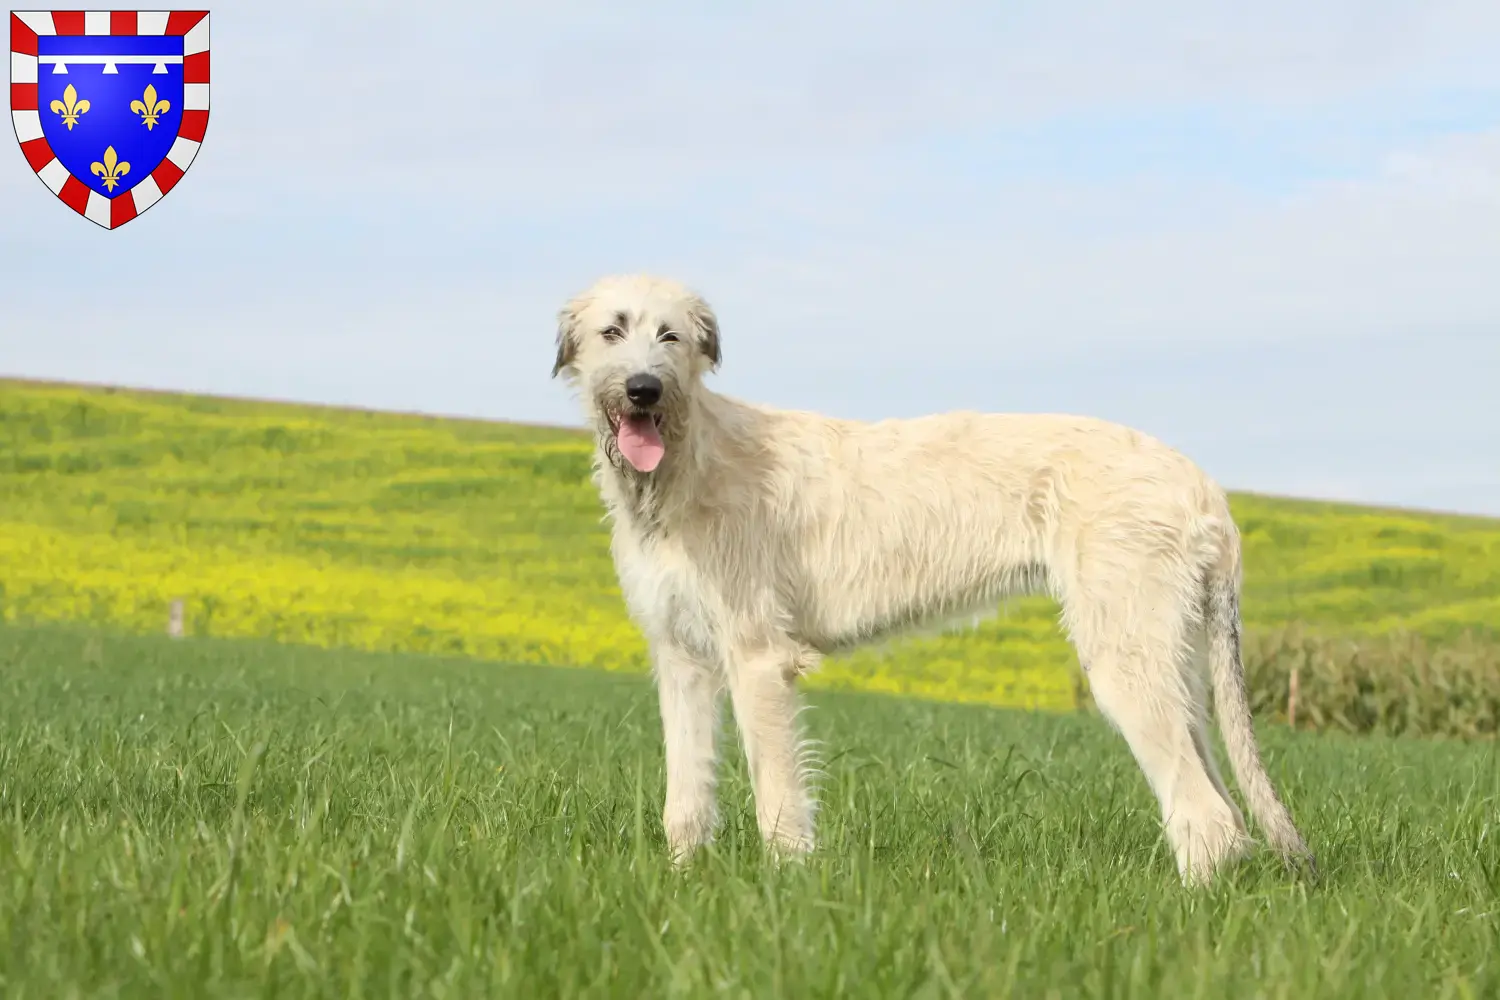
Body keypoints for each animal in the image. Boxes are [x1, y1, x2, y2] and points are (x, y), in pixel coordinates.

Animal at [552, 271, 1314, 881]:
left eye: (671, 335)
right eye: (612, 331)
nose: (644, 389)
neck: (685, 463)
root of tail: (1203, 485)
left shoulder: (757, 657)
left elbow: (777, 794)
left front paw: (785, 891)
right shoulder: (681, 656)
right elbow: (685, 793)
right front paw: (681, 881)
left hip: (1125, 653)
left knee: (1206, 814)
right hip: (1172, 656)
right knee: (1218, 797)